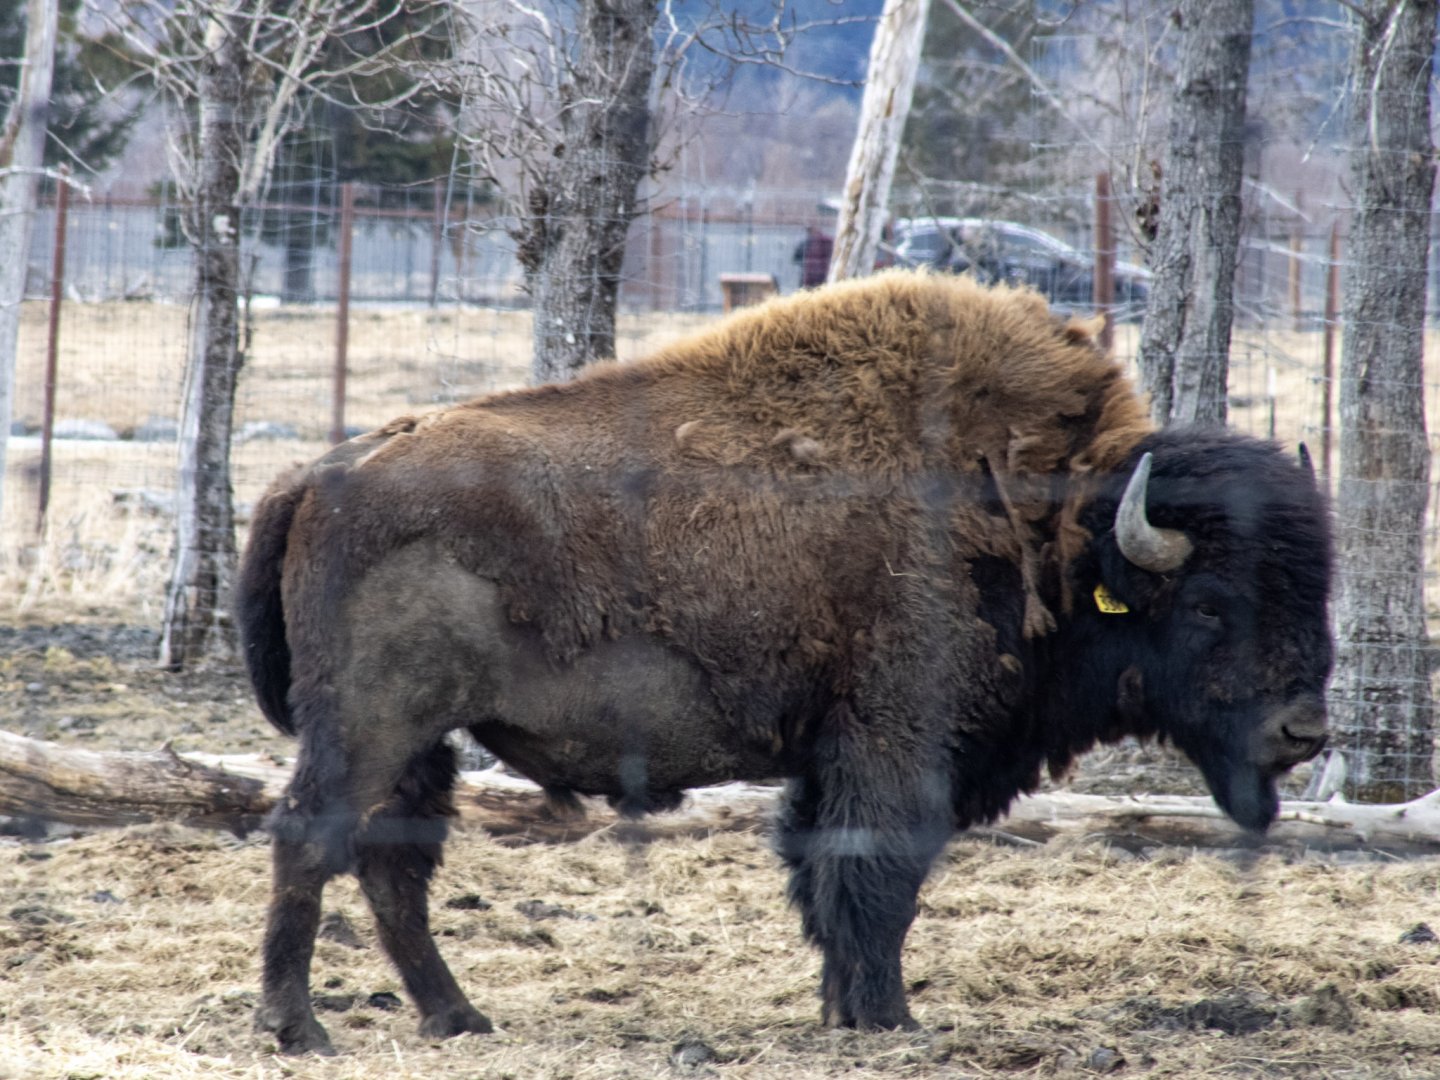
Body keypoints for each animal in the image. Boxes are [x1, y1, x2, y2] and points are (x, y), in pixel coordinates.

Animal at [236, 270, 1332, 1054]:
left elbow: (824, 875)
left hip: (423, 741)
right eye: (1210, 603)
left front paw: (845, 1010)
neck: (1053, 522)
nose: (1305, 729)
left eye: (1318, 589)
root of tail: (322, 471)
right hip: (372, 726)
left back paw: (457, 1018)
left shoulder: (829, 755)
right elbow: (878, 875)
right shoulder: (899, 744)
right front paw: (890, 1020)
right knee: (310, 836)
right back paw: (300, 1029)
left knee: (393, 861)